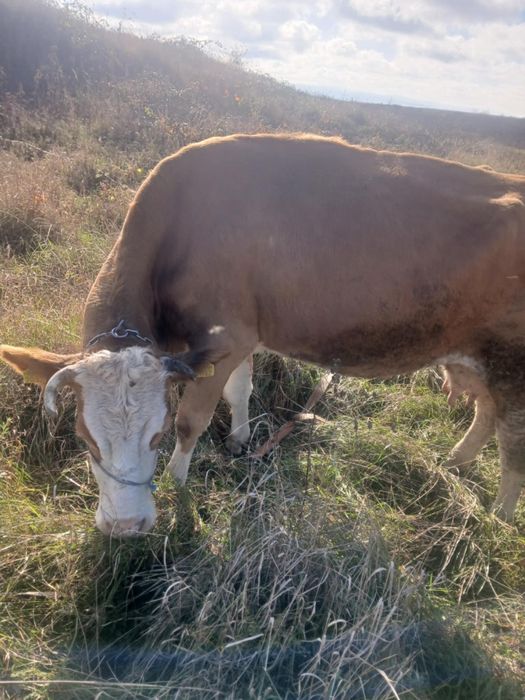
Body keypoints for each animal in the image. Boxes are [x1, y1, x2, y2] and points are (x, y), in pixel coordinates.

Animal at [1, 134, 524, 537]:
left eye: (157, 434)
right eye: (84, 438)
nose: (126, 528)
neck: (181, 225)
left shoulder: (227, 335)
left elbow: (194, 419)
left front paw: (177, 484)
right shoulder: (241, 337)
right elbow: (240, 389)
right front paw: (239, 439)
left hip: (513, 365)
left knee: (512, 442)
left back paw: (498, 518)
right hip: (479, 359)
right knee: (485, 413)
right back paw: (454, 464)